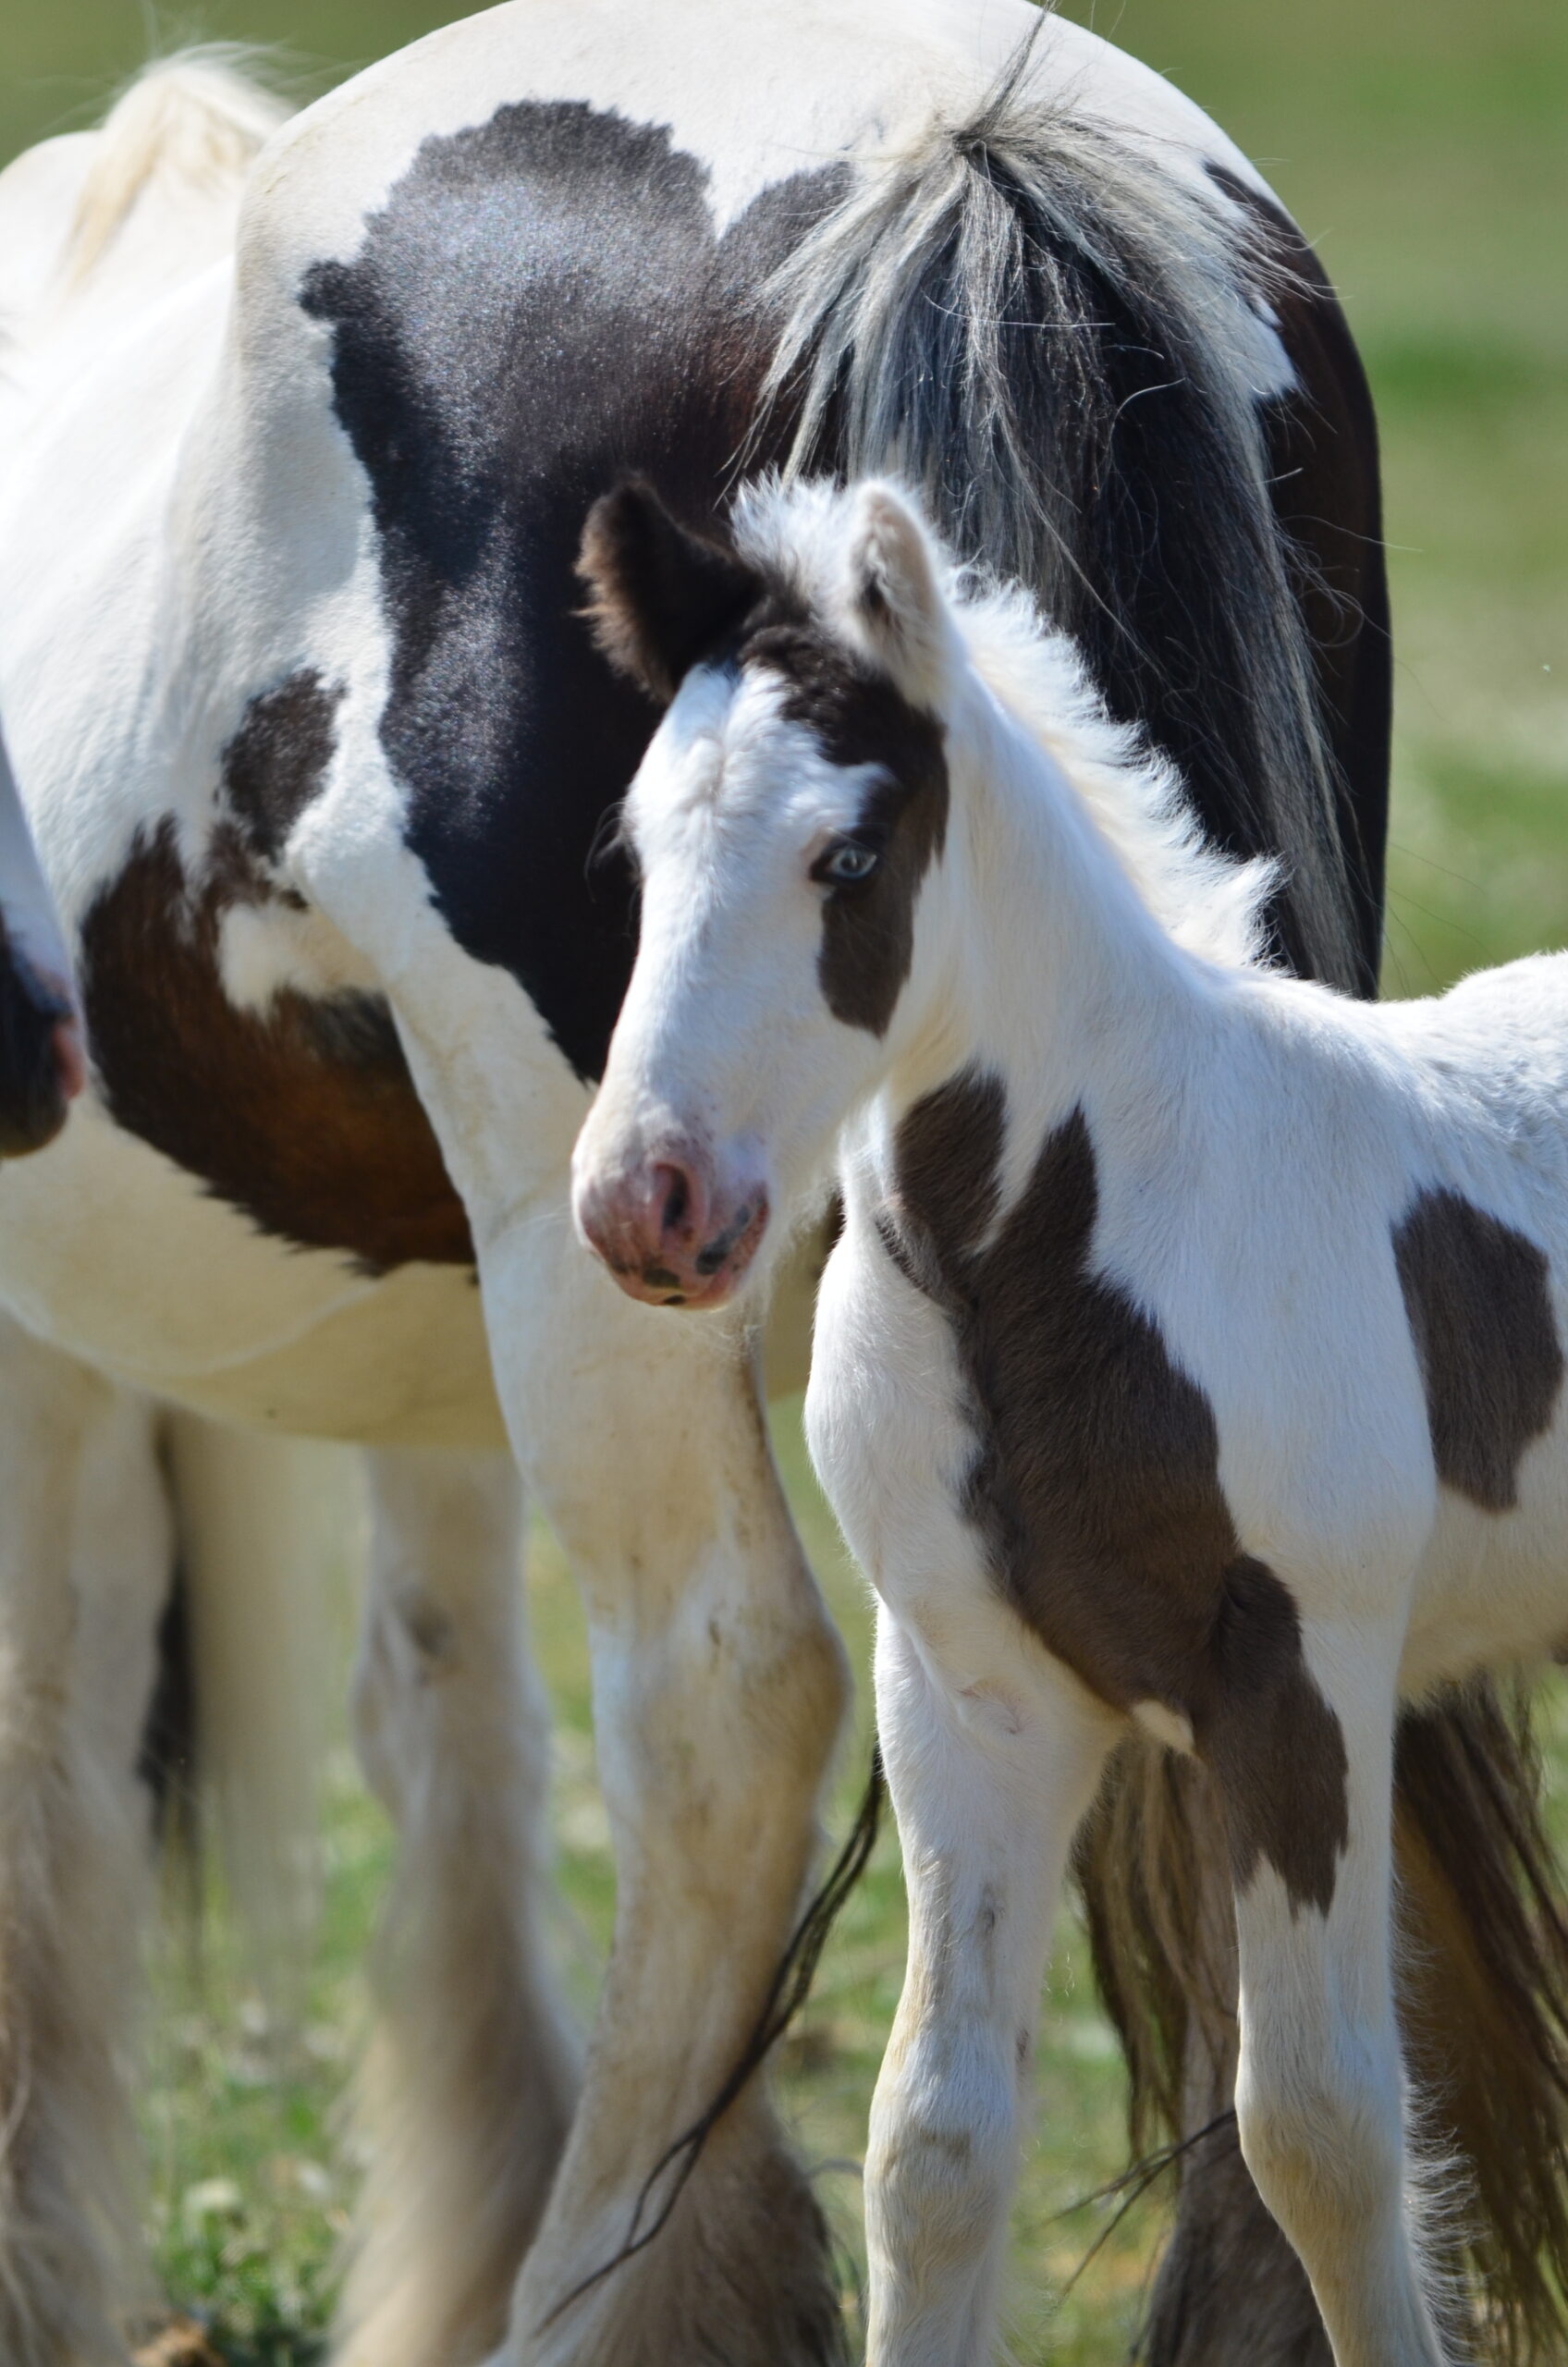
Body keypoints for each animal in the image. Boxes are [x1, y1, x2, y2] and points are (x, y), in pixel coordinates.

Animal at [578, 471, 1568, 2357]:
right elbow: (932, 2146)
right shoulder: (969, 1692)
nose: (647, 1202)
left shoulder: (1301, 1683)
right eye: (641, 852)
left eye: (849, 857)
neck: (1071, 1240)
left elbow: (1317, 2131)